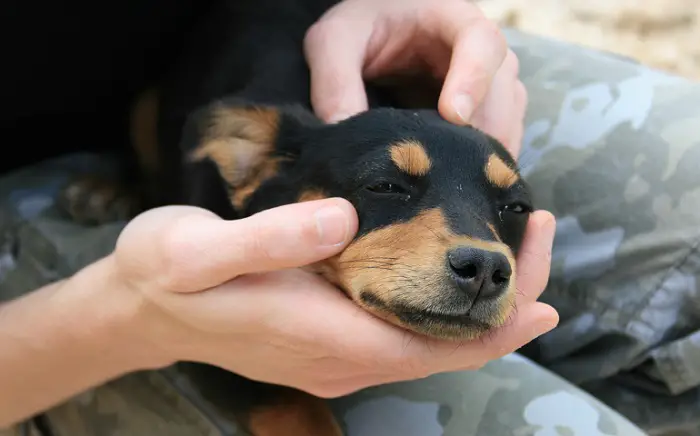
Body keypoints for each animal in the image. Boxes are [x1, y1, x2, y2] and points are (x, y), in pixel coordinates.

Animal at [58, 0, 532, 432]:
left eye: (517, 209)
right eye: (384, 186)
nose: (485, 268)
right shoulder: (217, 355)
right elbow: (300, 413)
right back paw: (106, 190)